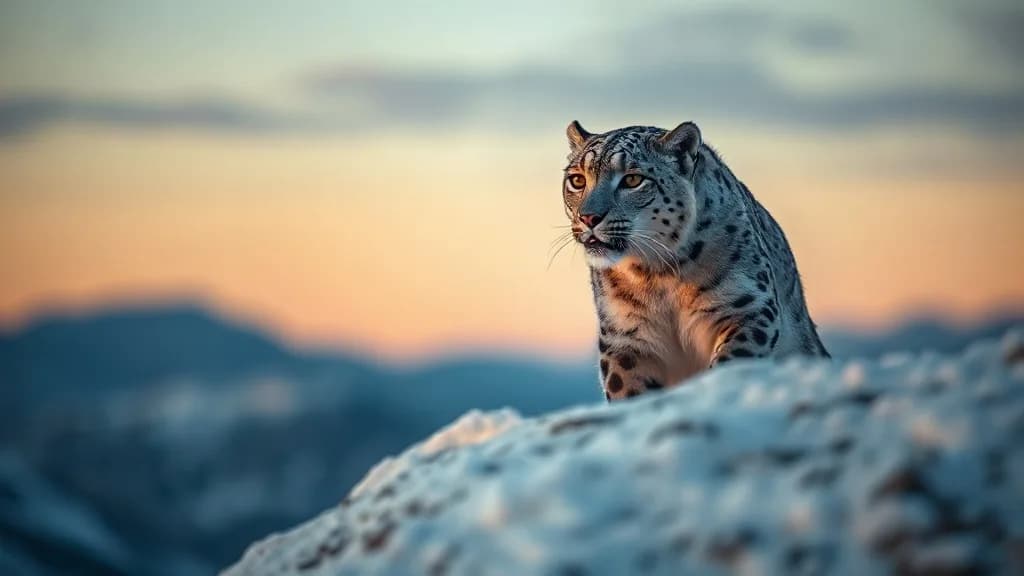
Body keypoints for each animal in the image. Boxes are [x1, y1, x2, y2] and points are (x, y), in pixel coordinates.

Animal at [561, 120, 830, 401]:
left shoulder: (747, 307)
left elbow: (732, 360)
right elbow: (626, 389)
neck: (656, 276)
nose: (588, 217)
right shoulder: (624, 334)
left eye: (633, 179)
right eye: (577, 179)